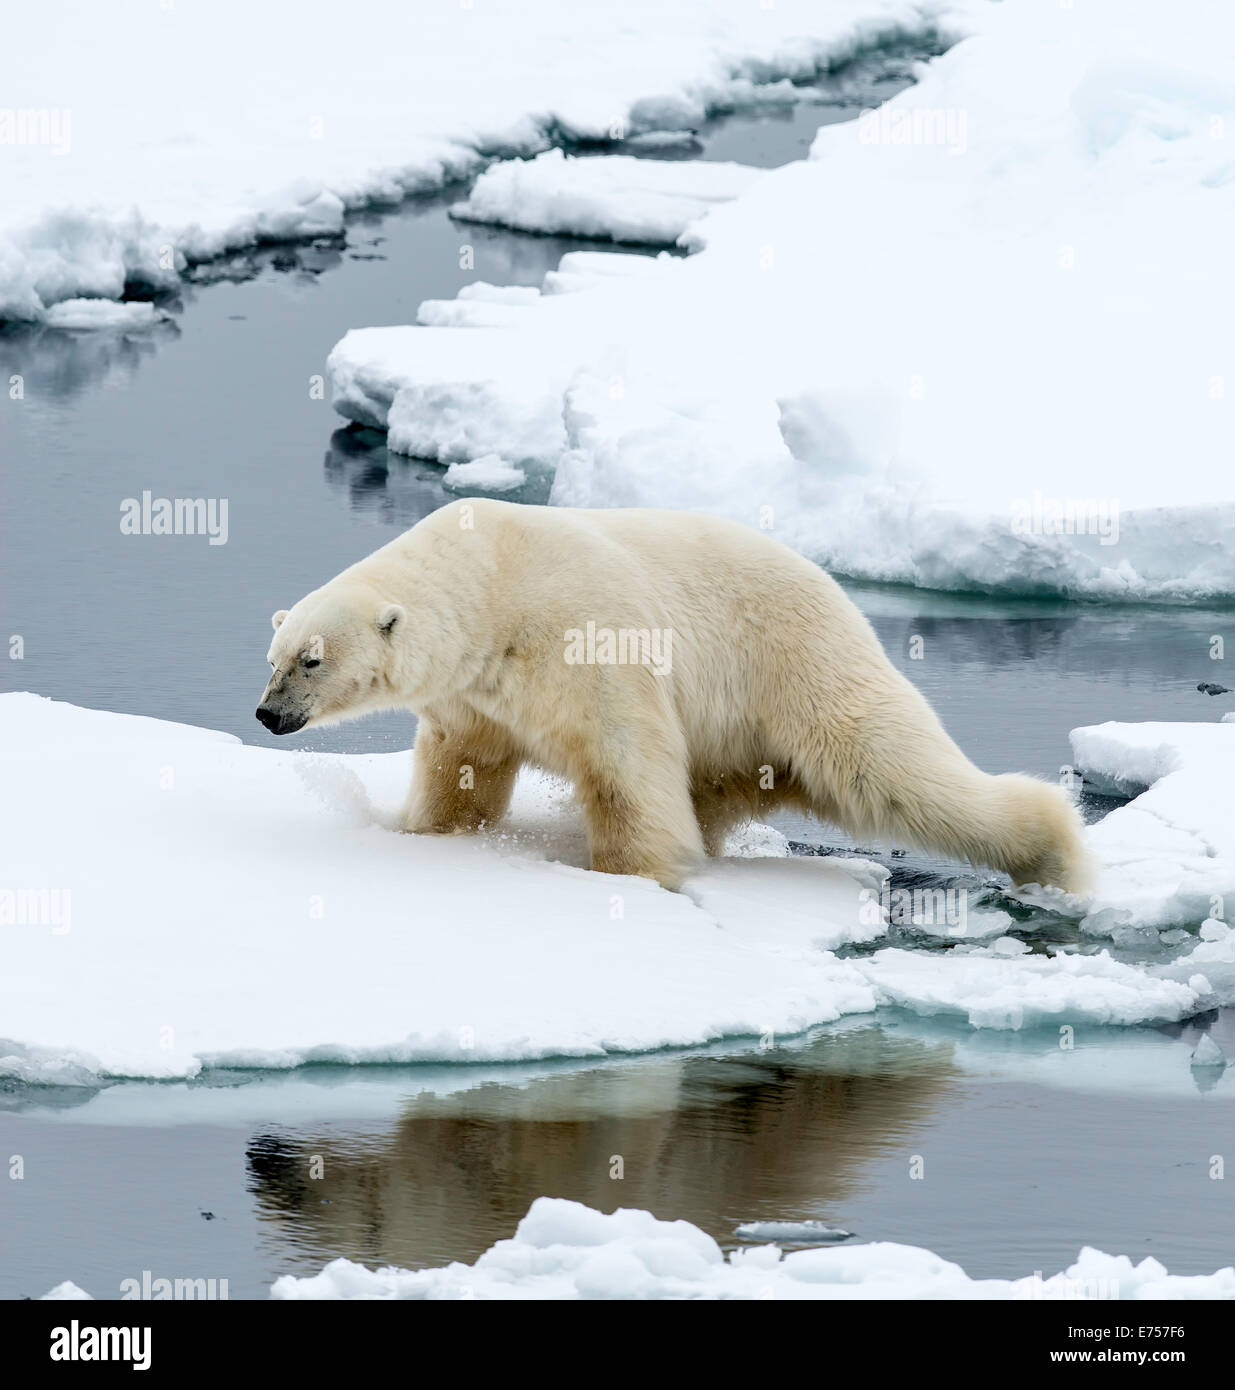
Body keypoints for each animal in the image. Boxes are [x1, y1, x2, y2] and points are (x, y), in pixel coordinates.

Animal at [258, 500, 1090, 889]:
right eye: (272, 657)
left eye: (311, 660)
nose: (268, 714)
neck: (492, 581)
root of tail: (841, 596)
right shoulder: (474, 694)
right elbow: (463, 766)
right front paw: (427, 834)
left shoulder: (582, 638)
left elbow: (624, 760)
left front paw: (632, 877)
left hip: (798, 671)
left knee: (888, 770)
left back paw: (1052, 855)